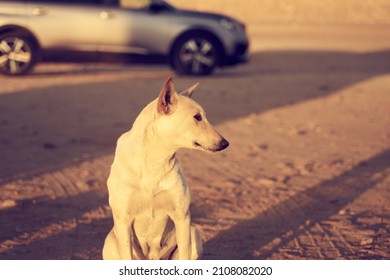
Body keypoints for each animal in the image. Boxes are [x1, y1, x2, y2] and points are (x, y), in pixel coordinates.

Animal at [102, 76, 229, 260]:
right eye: (197, 117)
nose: (226, 143)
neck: (154, 162)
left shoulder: (182, 217)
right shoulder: (123, 220)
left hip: (194, 233)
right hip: (111, 241)